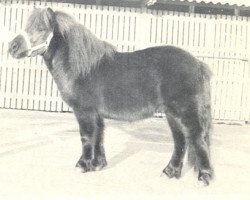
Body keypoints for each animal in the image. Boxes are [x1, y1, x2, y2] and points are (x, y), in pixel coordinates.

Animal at [8, 7, 214, 186]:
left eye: (41, 29)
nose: (12, 47)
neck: (83, 68)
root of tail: (198, 64)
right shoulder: (97, 114)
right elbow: (99, 136)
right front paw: (97, 164)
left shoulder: (84, 112)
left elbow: (86, 137)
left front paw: (82, 165)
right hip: (172, 114)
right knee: (181, 141)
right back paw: (170, 172)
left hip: (184, 113)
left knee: (197, 139)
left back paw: (204, 177)